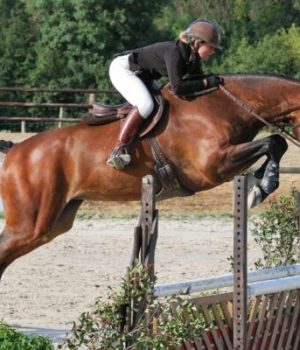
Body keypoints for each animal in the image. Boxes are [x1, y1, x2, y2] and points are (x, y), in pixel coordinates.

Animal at [0, 72, 300, 280]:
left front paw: (261, 182)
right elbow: (272, 142)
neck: (226, 105)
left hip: (56, 221)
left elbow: (276, 143)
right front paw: (263, 185)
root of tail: (15, 150)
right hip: (30, 225)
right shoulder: (214, 165)